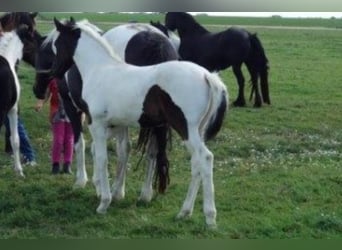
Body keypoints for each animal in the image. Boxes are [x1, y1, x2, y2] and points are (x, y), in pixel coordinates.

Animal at [33, 20, 180, 202]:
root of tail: (155, 41)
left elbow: (80, 143)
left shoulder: (73, 108)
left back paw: (118, 191)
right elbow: (97, 147)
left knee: (125, 148)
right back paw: (144, 194)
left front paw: (83, 181)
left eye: (39, 54)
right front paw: (100, 183)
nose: (37, 90)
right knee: (151, 150)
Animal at [49, 18, 228, 228]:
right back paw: (184, 212)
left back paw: (210, 218)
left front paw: (104, 202)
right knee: (196, 163)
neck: (100, 69)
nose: (54, 72)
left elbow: (101, 158)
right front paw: (109, 191)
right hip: (197, 131)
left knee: (205, 158)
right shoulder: (116, 124)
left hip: (186, 128)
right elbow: (117, 152)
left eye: (58, 44)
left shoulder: (97, 124)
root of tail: (207, 76)